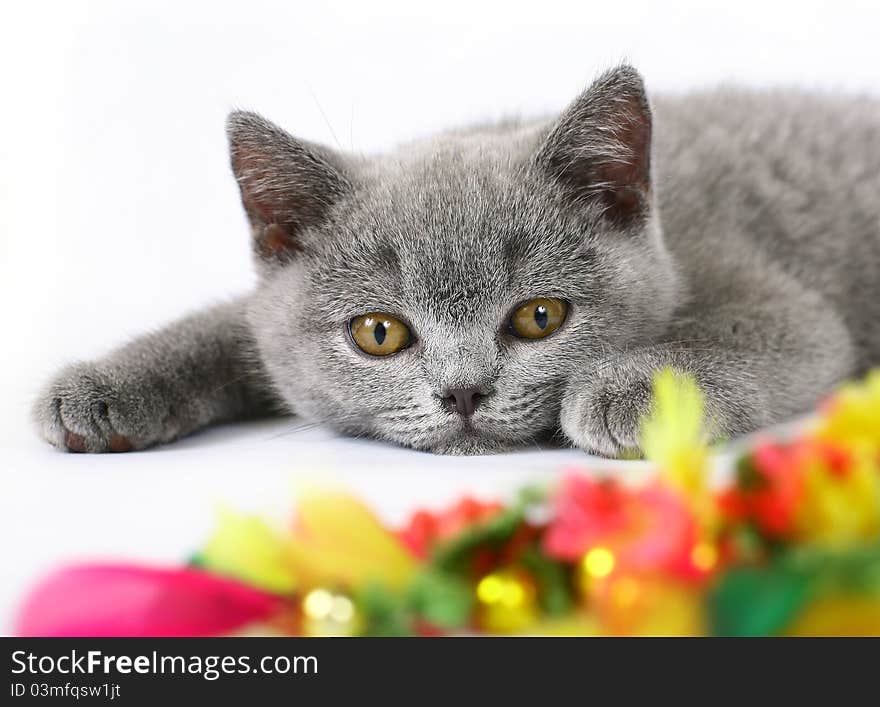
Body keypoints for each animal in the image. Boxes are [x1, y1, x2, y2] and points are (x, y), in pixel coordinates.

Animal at [34, 66, 880, 460]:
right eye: (378, 332)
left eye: (540, 317)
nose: (465, 391)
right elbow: (228, 327)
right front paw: (101, 388)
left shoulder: (767, 290)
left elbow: (754, 333)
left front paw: (634, 390)